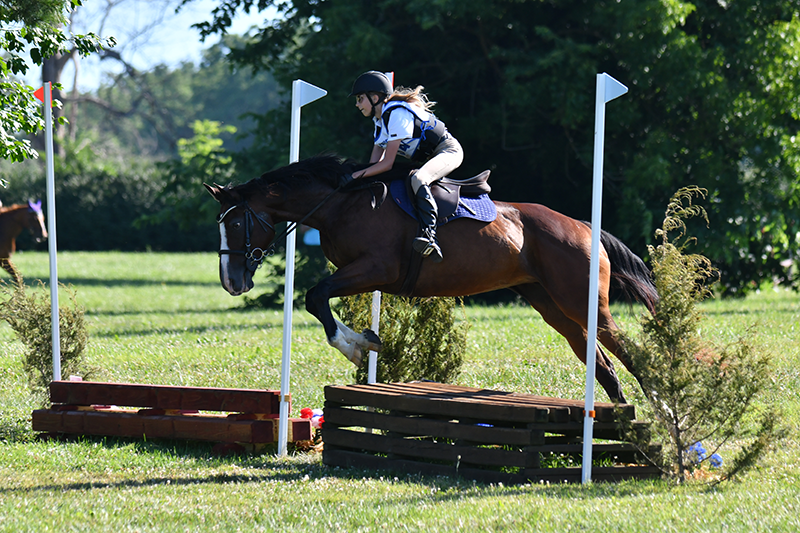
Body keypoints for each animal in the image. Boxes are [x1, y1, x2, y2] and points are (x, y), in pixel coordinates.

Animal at [205, 155, 656, 404]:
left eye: (237, 223)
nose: (231, 283)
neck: (339, 204)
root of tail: (583, 226)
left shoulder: (376, 269)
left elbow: (316, 297)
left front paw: (357, 347)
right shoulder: (363, 274)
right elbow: (317, 300)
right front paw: (365, 341)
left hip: (581, 301)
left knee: (626, 350)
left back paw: (661, 409)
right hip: (550, 304)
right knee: (602, 363)